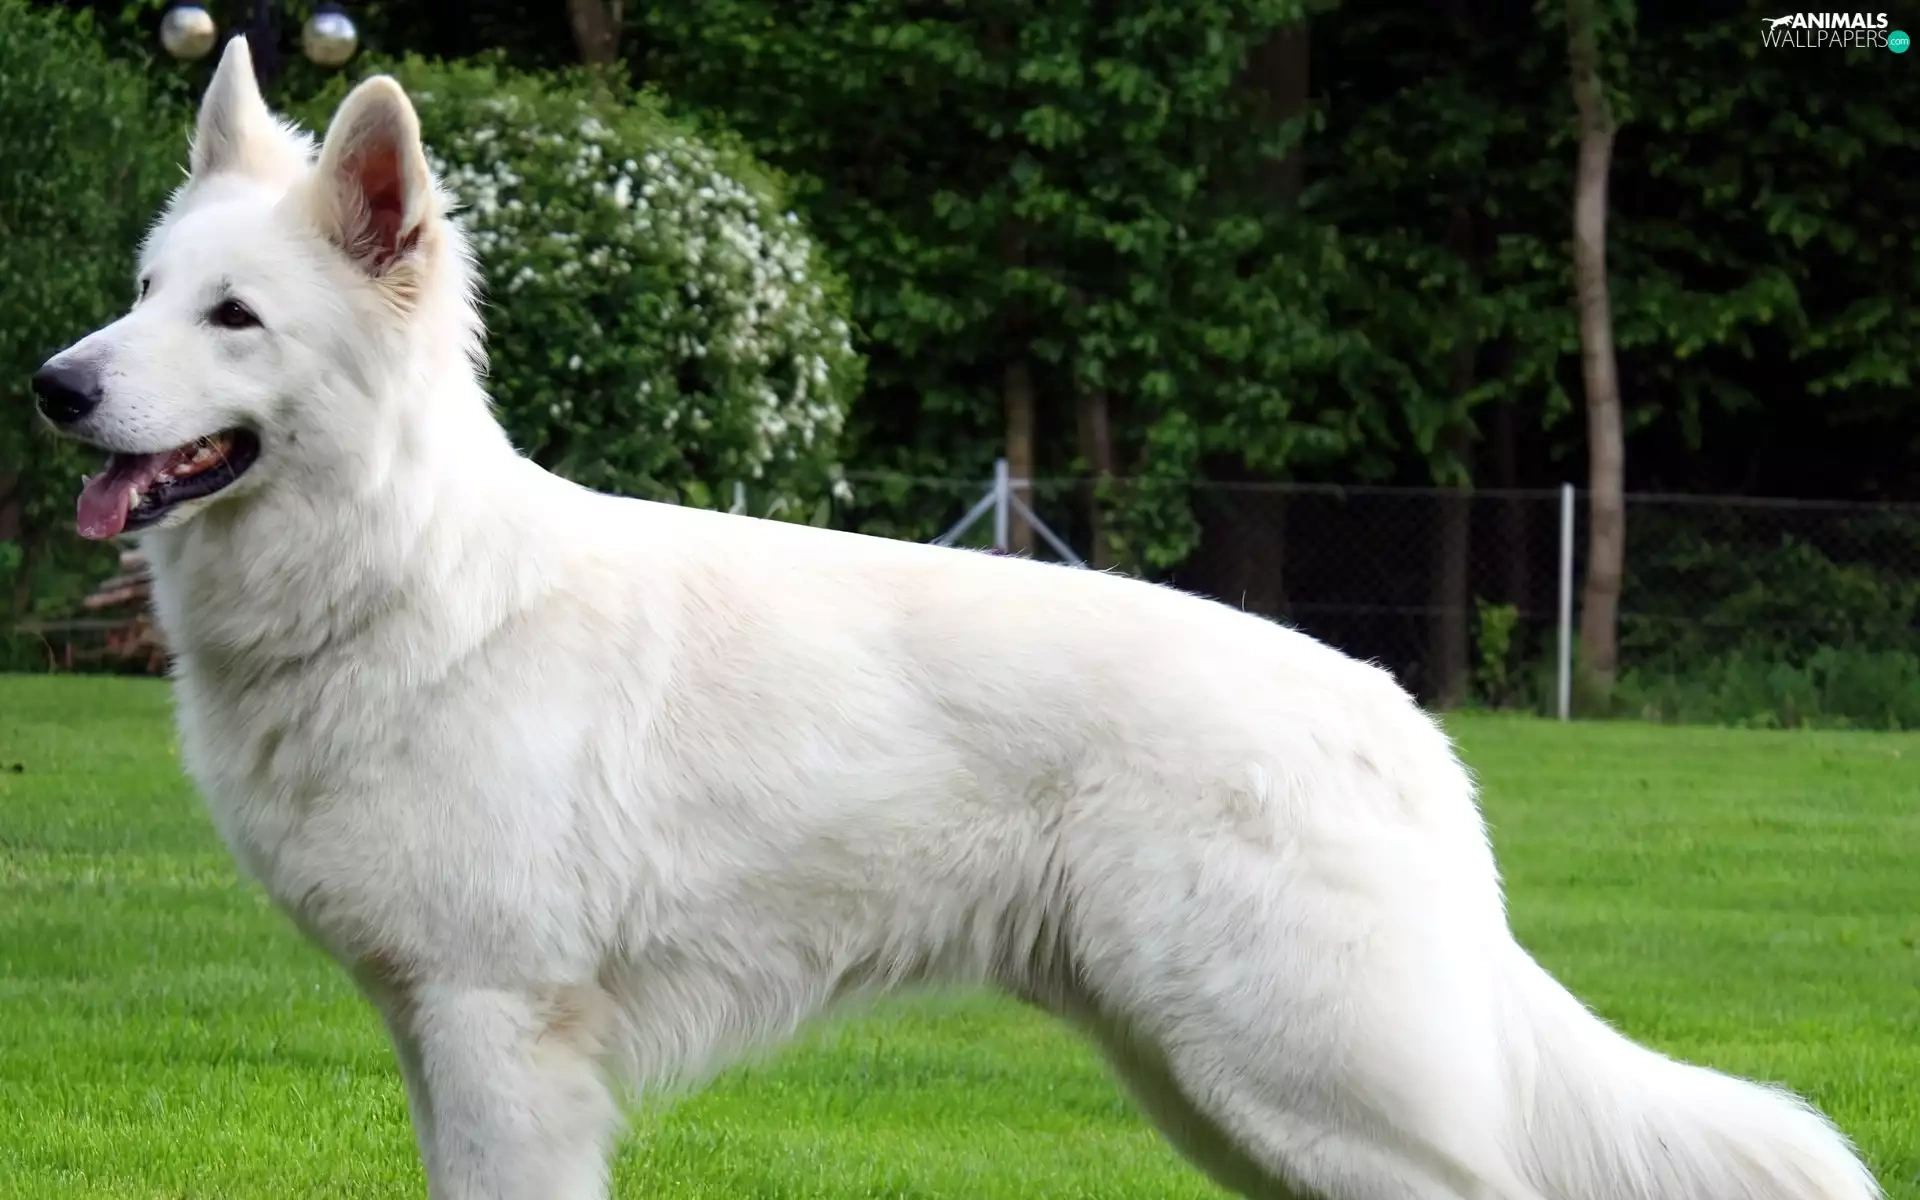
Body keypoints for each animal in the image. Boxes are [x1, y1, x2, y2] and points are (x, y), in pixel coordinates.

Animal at [29, 36, 1881, 1200]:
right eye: (139, 296)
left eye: (234, 319)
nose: (52, 386)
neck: (412, 576)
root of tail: (1400, 724)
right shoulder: (440, 1040)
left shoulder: (502, 1035)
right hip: (1219, 1093)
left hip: (1302, 1088)